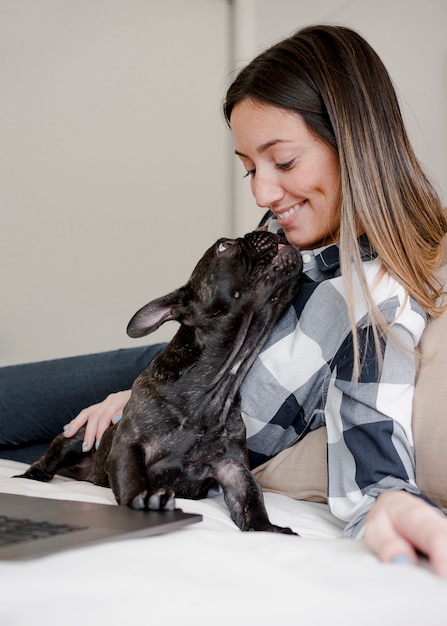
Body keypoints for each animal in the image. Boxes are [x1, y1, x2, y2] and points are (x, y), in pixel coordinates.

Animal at [19, 229, 302, 532]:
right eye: (224, 246)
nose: (271, 230)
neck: (218, 382)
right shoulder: (130, 444)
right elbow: (132, 475)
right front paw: (144, 500)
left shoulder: (233, 467)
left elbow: (251, 496)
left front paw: (266, 529)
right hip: (75, 436)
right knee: (49, 458)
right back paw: (30, 476)